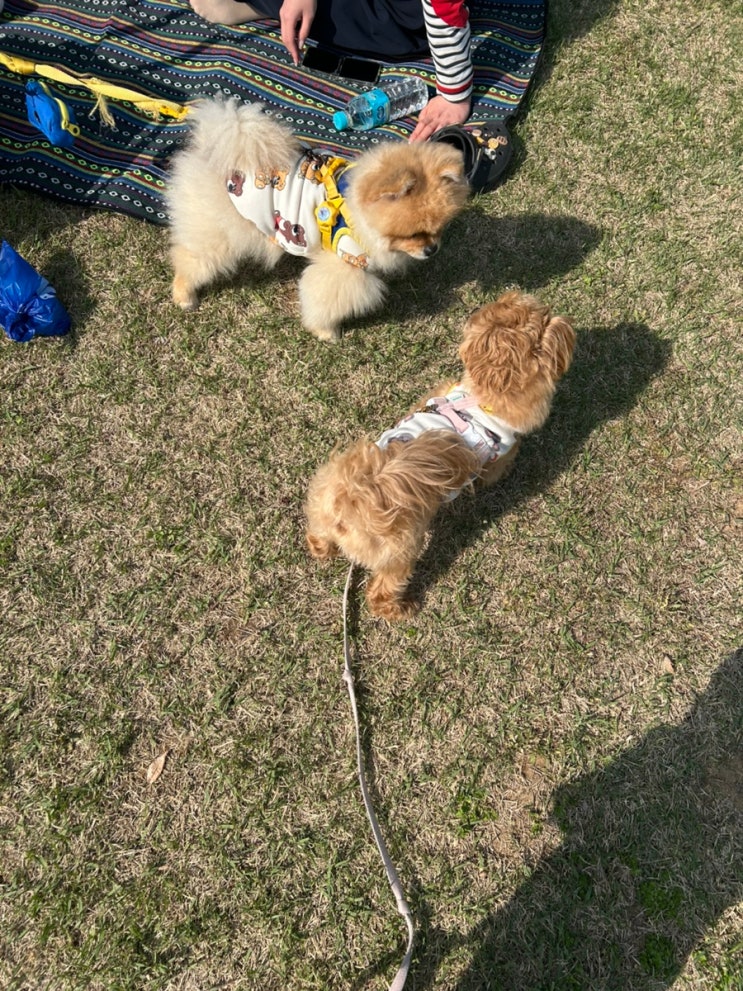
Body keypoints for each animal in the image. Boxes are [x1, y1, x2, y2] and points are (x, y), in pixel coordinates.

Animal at [166, 98, 470, 341]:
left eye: (438, 229)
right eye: (412, 234)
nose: (432, 249)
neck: (356, 211)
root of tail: (211, 148)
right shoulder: (343, 262)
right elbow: (325, 298)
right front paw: (326, 332)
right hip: (218, 231)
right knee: (191, 258)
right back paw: (184, 296)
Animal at [305, 292, 576, 620]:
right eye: (543, 314)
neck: (481, 397)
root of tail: (349, 502)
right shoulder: (500, 453)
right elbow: (495, 470)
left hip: (322, 512)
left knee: (317, 537)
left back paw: (323, 548)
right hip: (401, 551)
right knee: (382, 590)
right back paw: (401, 608)